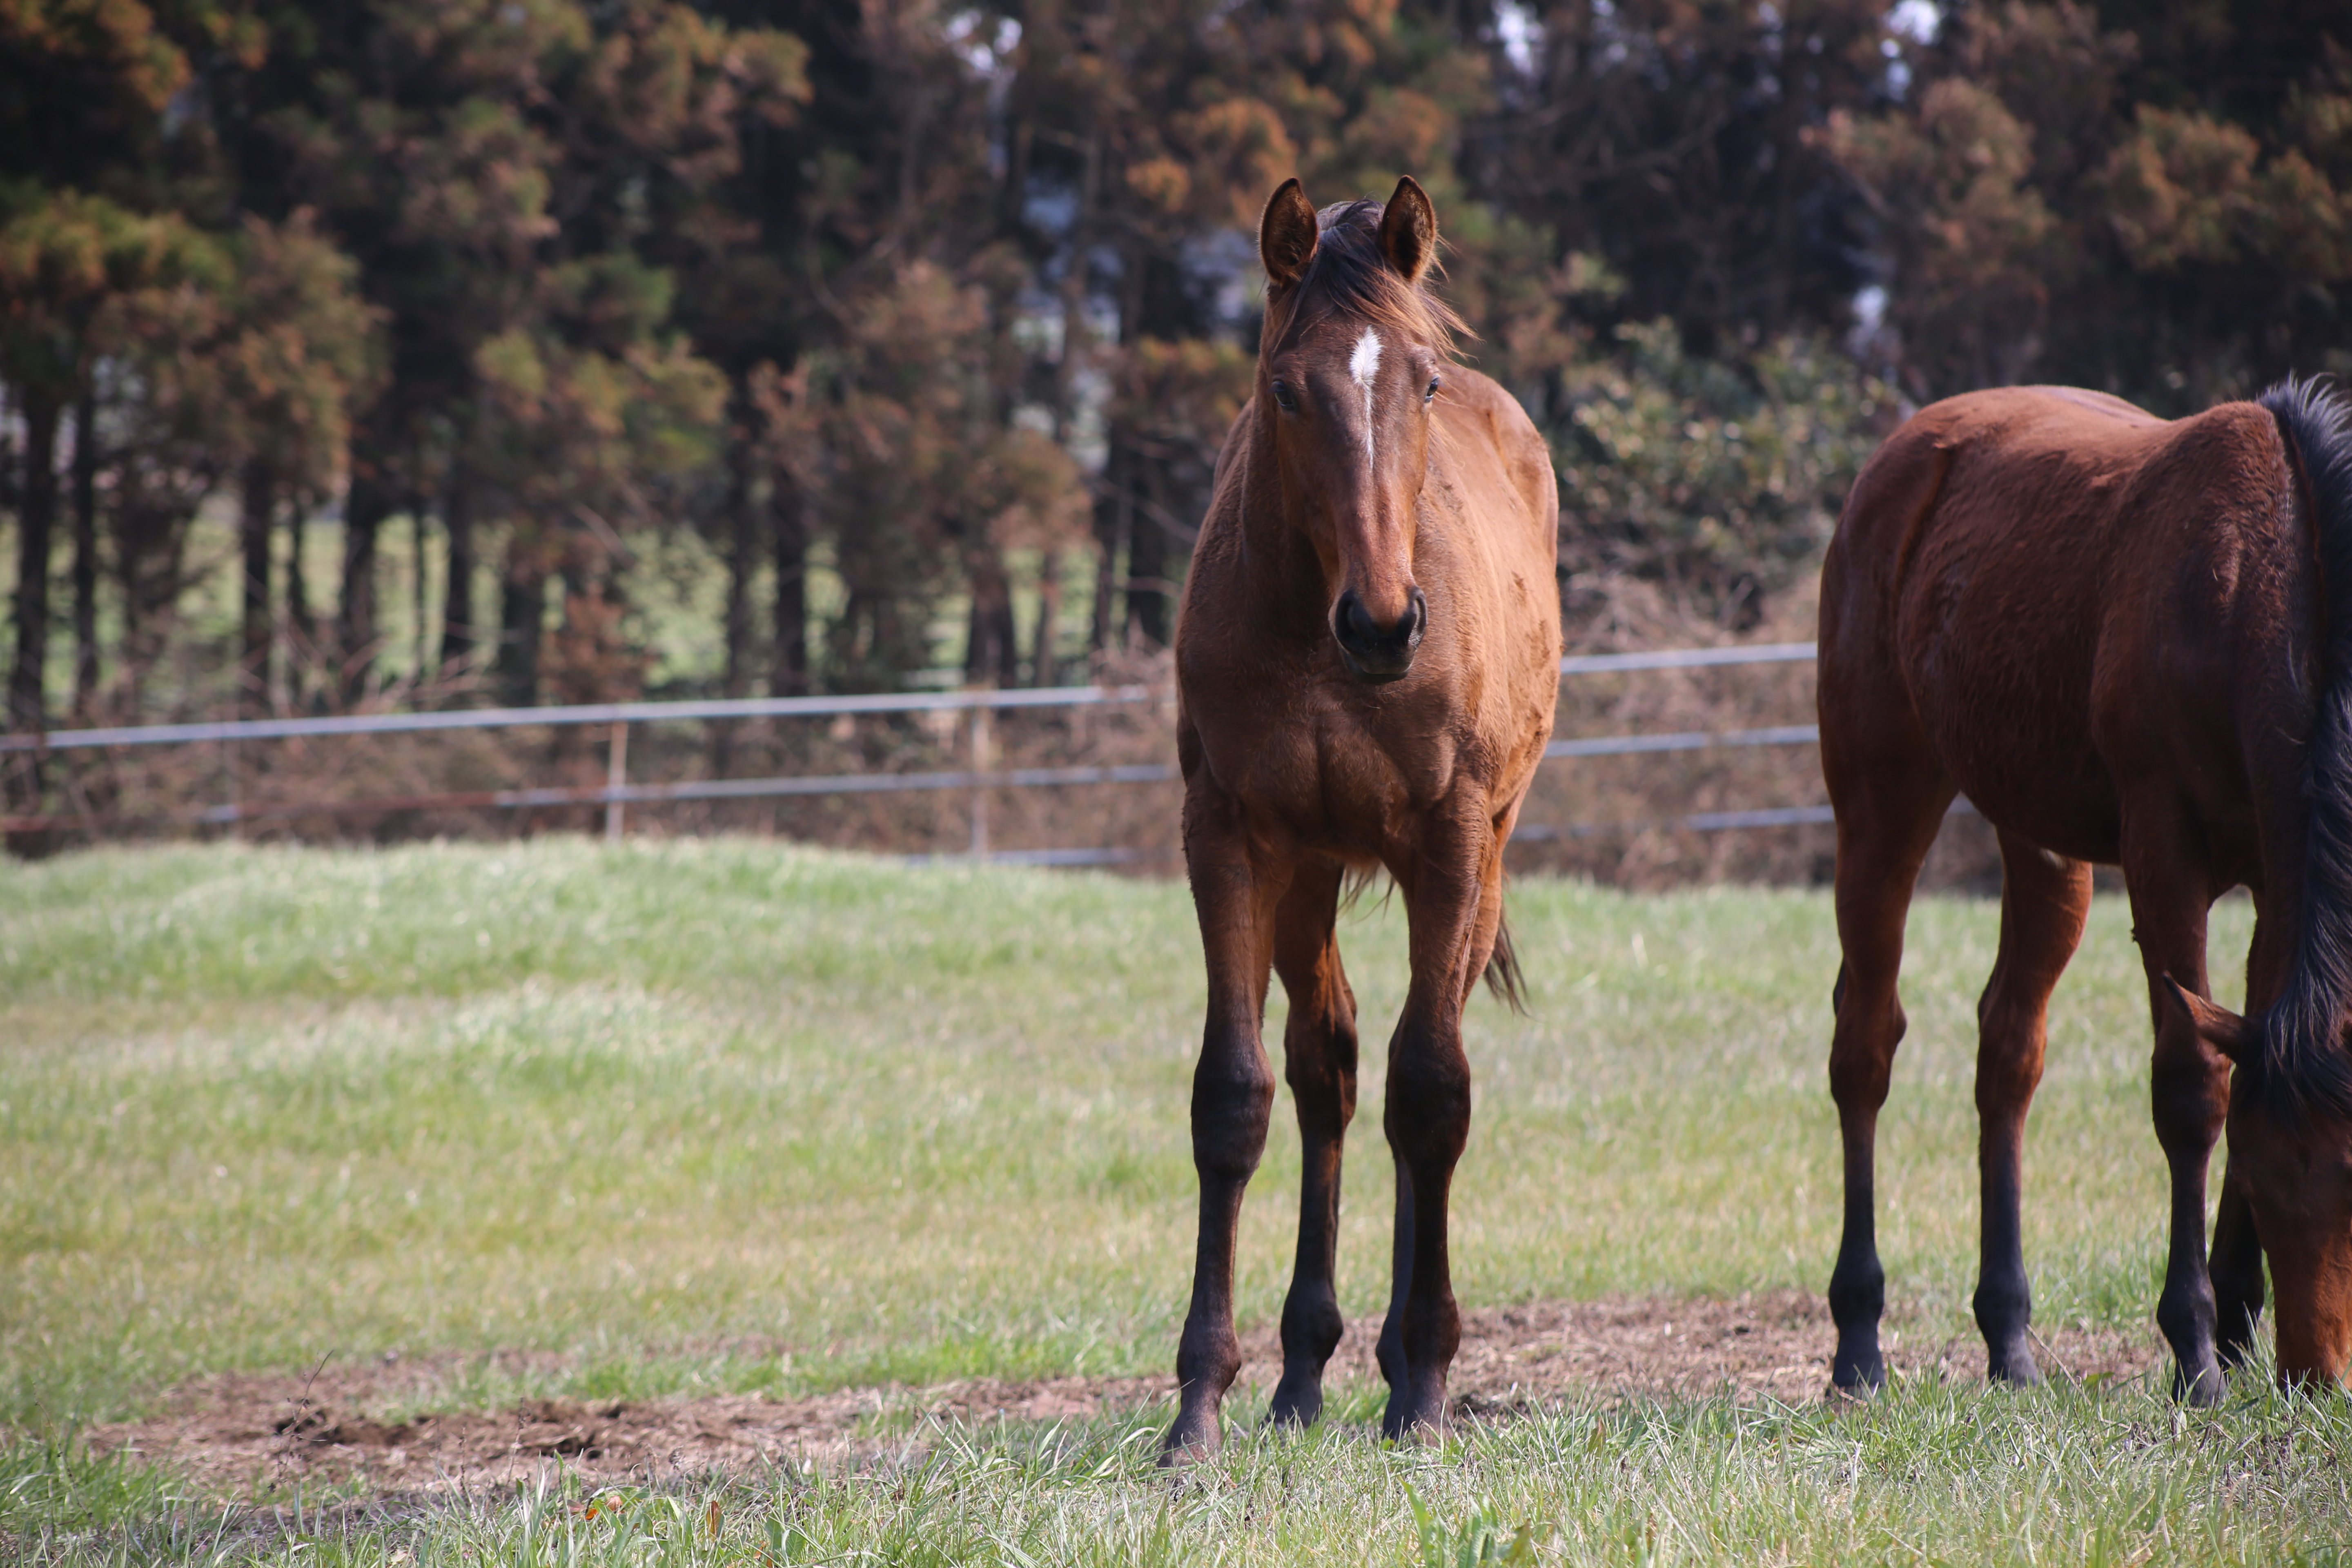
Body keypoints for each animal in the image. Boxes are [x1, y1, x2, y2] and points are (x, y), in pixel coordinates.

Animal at [1162, 175, 1561, 1457]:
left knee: (1410, 1071)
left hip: (1480, 867)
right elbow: (1234, 1096)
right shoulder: (1231, 840)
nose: (1385, 623)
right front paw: (1198, 1405)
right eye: (1287, 390)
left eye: (1418, 385)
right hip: (1309, 878)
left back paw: (1393, 1362)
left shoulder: (1449, 839)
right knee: (1328, 1067)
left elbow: (1430, 1090)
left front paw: (1423, 1381)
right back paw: (1302, 1370)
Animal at [1825, 376, 2352, 1401]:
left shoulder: (2280, 877)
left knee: (2007, 1052)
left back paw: (2008, 1338)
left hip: (2040, 845)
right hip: (1877, 804)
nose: (2317, 1377)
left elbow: (2245, 1062)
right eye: (2272, 1189)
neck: (2260, 577)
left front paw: (2233, 1315)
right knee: (1863, 1045)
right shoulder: (2162, 849)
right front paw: (2196, 1348)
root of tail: (1900, 455)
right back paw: (1858, 1342)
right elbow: (2192, 1090)